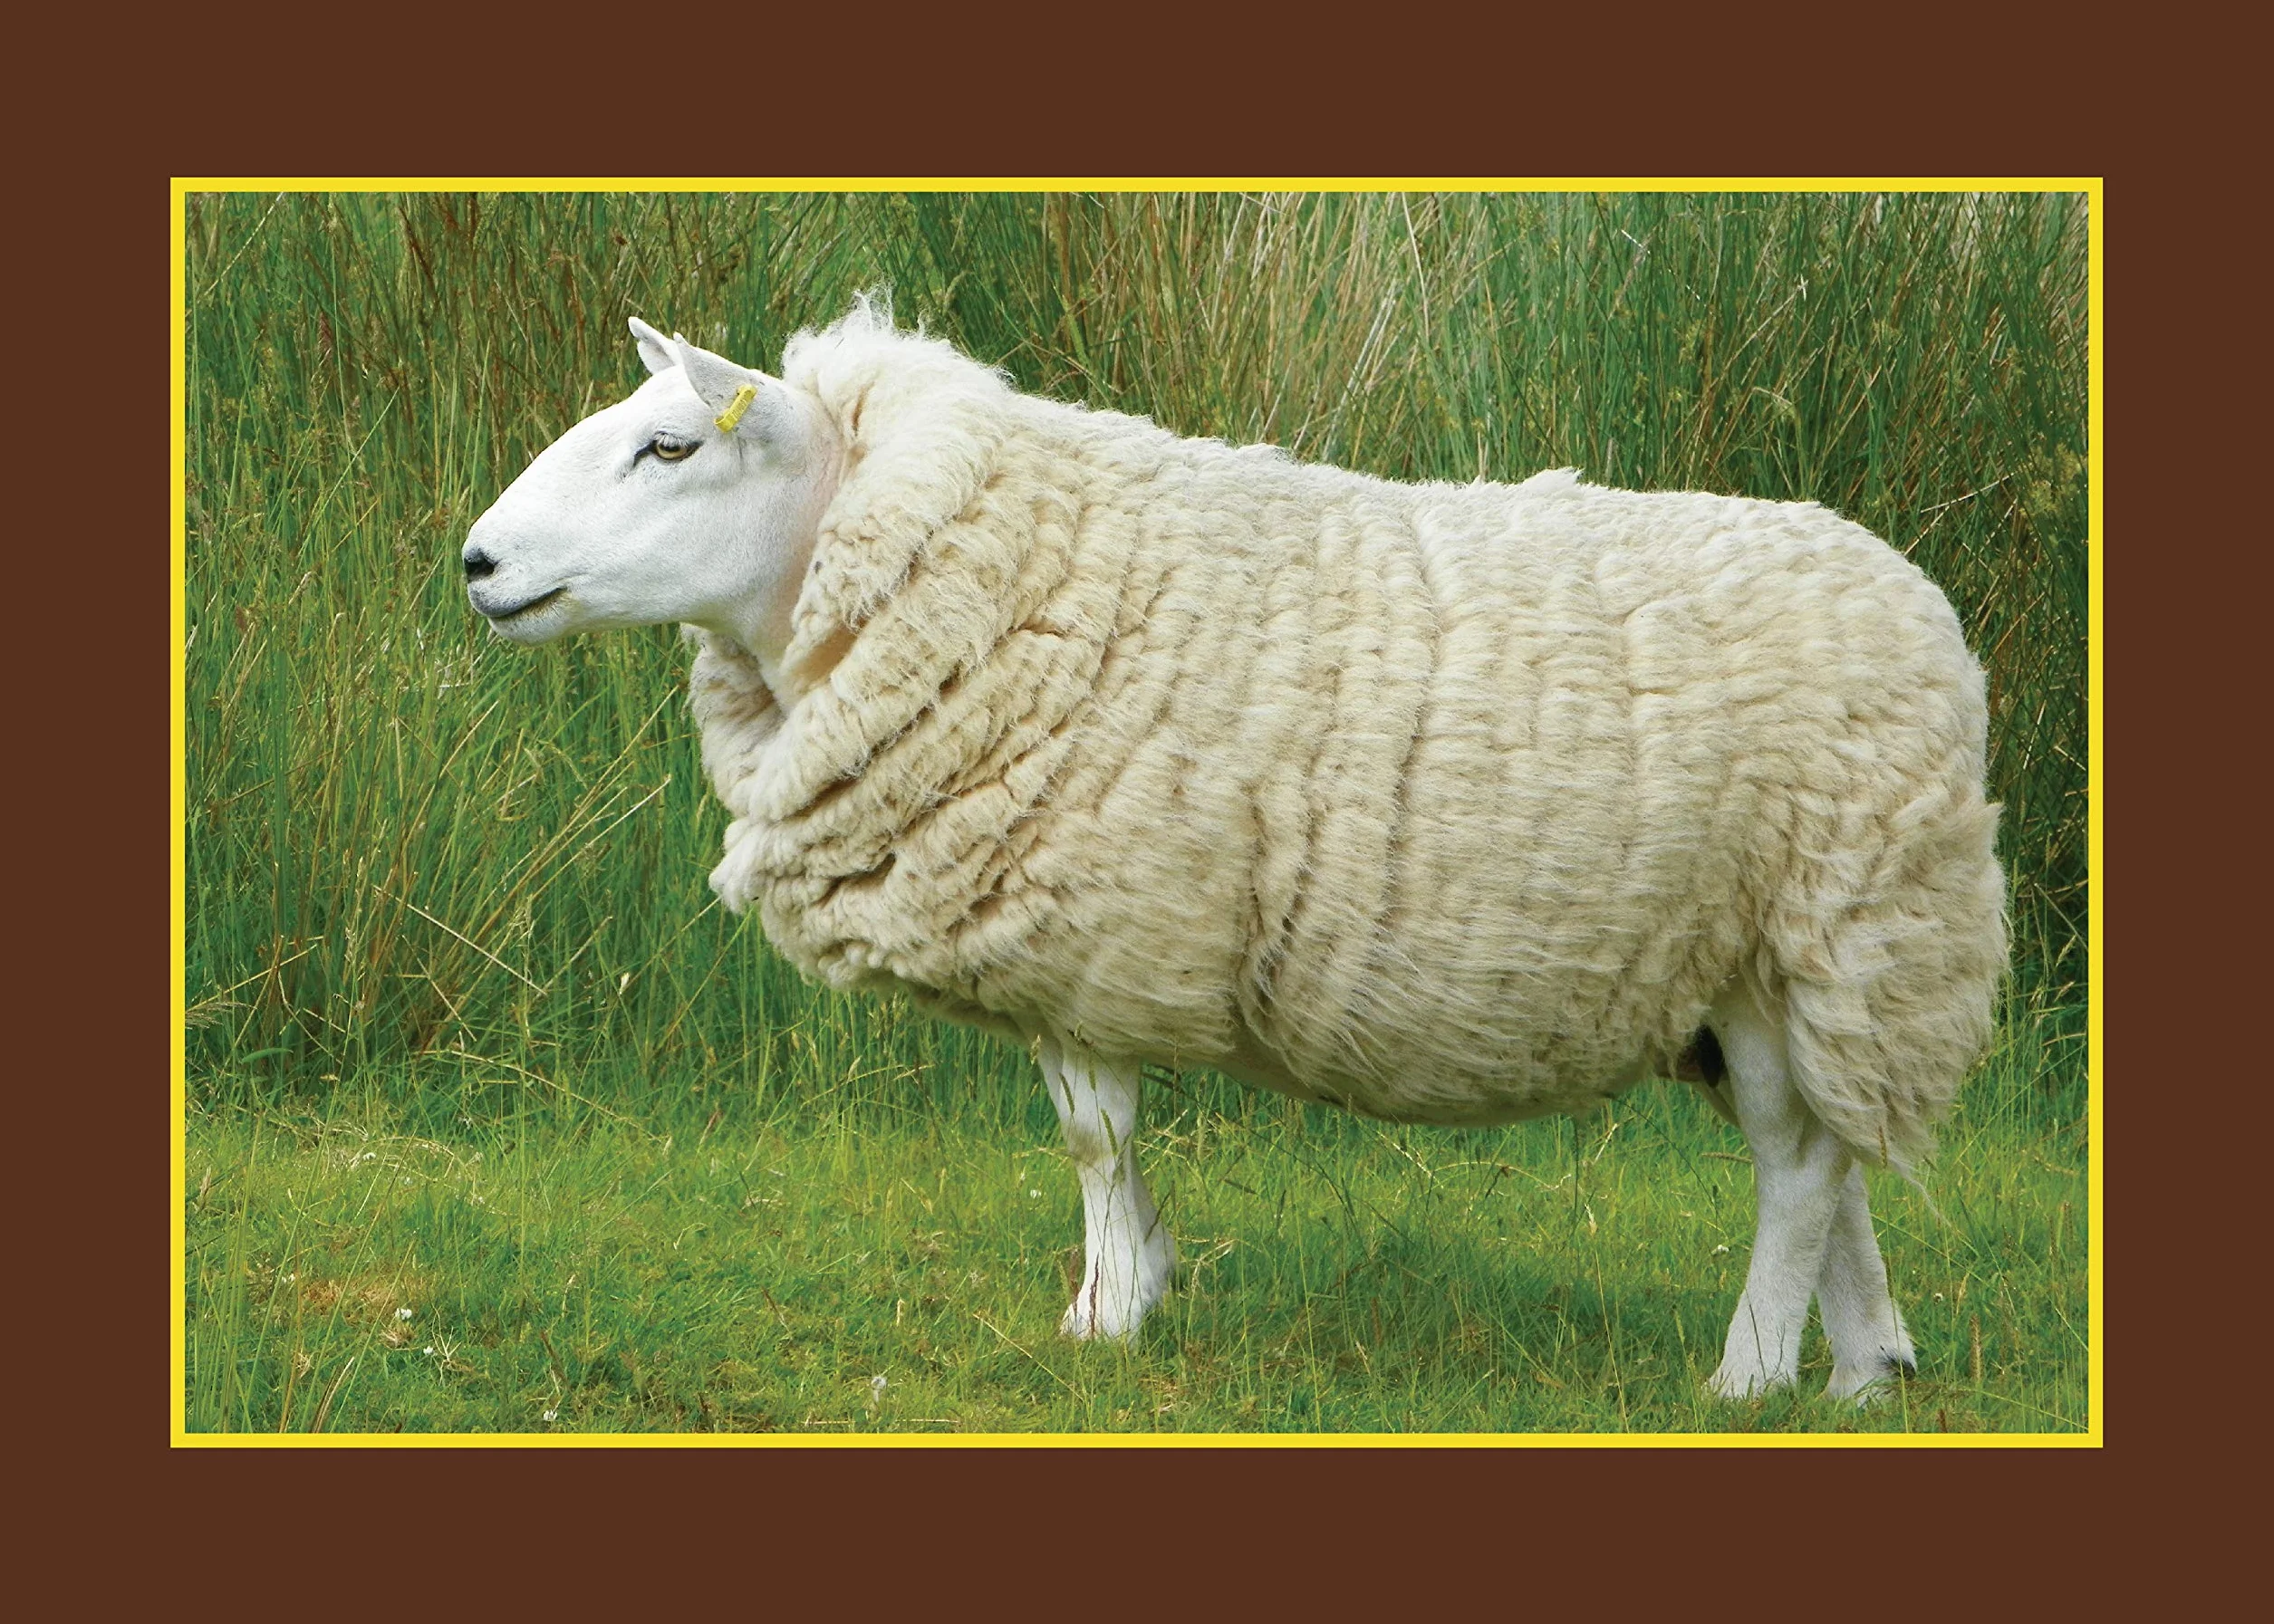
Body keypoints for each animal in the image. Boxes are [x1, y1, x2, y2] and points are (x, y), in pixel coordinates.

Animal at [463, 299, 2007, 1404]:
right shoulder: (1060, 938)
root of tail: (1923, 618)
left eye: (672, 447)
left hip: (1813, 920)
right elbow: (1094, 1138)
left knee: (1797, 1165)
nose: (477, 564)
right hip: (1786, 966)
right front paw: (1138, 1278)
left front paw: (1103, 1320)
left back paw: (1748, 1376)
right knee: (1833, 1153)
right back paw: (1866, 1368)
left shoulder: (1096, 922)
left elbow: (1092, 1134)